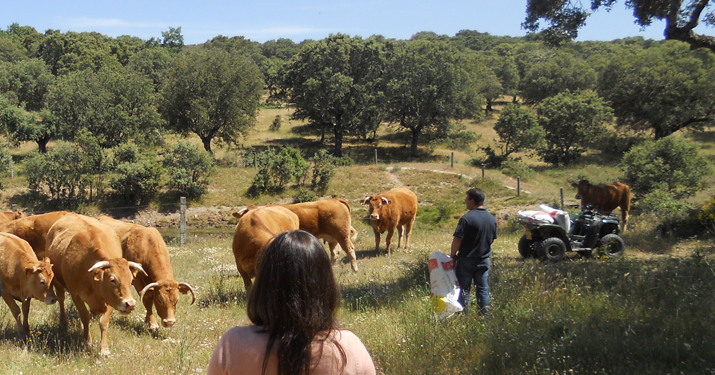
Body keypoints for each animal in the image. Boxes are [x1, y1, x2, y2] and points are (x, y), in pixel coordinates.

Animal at [45, 213, 147, 356]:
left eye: (131, 280)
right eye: (112, 280)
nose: (130, 304)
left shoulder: (111, 299)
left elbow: (103, 322)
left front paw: (104, 349)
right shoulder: (76, 295)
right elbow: (85, 316)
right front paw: (87, 341)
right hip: (58, 283)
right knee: (61, 299)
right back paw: (63, 323)